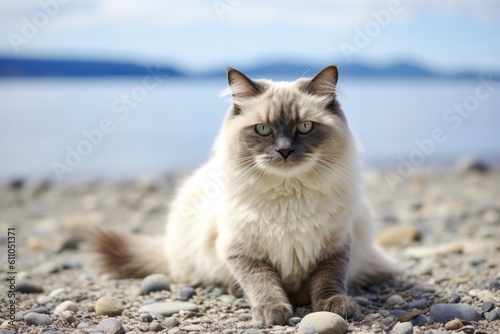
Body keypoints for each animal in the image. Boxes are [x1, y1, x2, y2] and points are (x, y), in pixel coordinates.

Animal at [88, 64, 396, 324]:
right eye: (263, 129)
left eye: (305, 127)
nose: (284, 151)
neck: (289, 196)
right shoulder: (243, 253)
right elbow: (263, 284)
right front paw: (273, 312)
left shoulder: (334, 248)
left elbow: (329, 281)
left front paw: (335, 305)